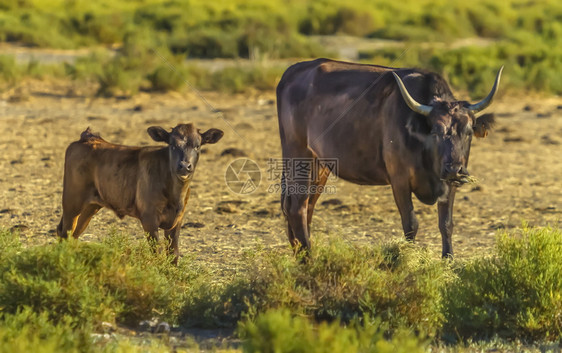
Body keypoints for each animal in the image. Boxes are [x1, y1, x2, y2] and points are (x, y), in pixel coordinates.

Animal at [56, 122, 223, 262]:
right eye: (172, 145)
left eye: (197, 146)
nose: (184, 166)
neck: (175, 194)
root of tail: (88, 137)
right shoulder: (149, 219)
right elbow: (157, 253)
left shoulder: (177, 221)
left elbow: (173, 255)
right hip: (72, 203)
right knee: (65, 234)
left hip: (90, 206)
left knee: (73, 235)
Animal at [276, 57, 498, 256]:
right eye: (436, 131)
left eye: (468, 131)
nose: (454, 169)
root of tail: (294, 70)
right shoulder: (399, 181)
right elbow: (411, 225)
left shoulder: (449, 184)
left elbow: (446, 224)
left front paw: (448, 261)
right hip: (298, 156)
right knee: (297, 207)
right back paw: (308, 258)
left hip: (320, 165)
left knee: (307, 206)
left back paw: (301, 254)